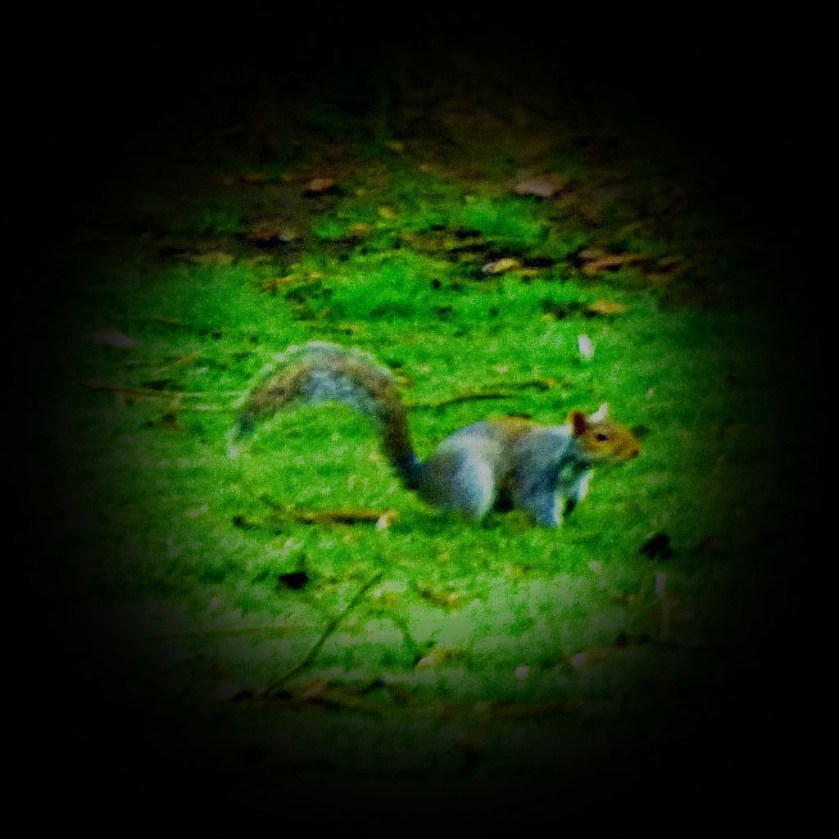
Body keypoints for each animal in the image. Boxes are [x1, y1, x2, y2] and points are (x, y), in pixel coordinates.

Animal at [227, 341, 641, 527]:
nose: (636, 451)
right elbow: (537, 503)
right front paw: (556, 530)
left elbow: (573, 498)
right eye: (601, 437)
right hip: (472, 482)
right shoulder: (536, 475)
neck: (571, 459)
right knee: (461, 518)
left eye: (621, 428)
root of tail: (424, 479)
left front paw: (572, 514)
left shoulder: (575, 483)